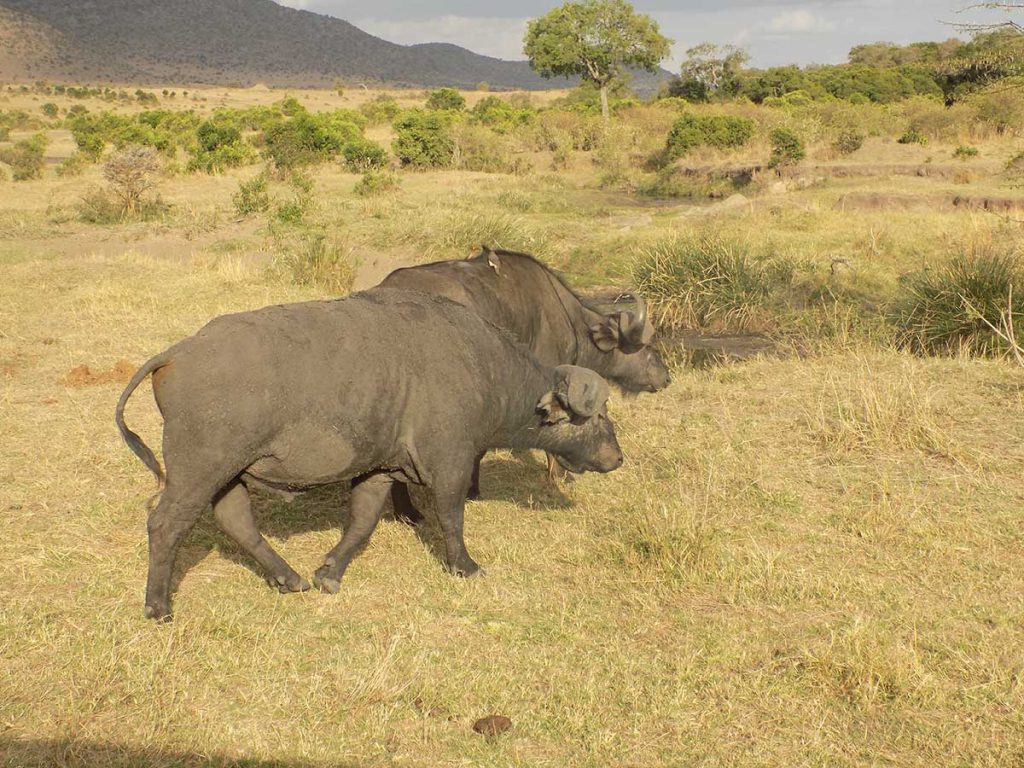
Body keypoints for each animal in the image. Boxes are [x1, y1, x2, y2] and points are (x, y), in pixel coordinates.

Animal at [117, 289, 623, 620]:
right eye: (598, 415)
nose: (617, 458)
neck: (485, 368)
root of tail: (176, 354)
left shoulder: (379, 470)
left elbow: (361, 523)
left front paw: (329, 572)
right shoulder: (451, 464)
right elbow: (451, 518)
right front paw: (465, 567)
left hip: (229, 474)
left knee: (236, 522)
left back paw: (289, 577)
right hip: (197, 472)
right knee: (165, 524)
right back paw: (158, 606)